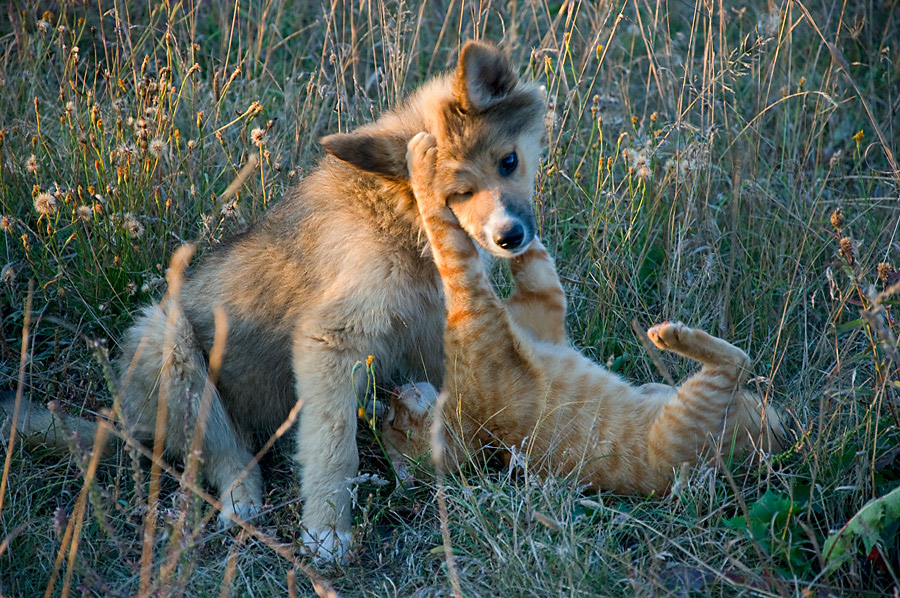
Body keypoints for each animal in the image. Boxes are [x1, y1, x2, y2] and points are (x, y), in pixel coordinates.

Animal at [380, 134, 788, 494]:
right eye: (392, 420)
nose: (393, 391)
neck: (471, 426)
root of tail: (775, 445)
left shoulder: (542, 300)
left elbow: (528, 253)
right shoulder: (474, 294)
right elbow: (444, 236)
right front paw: (420, 162)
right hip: (683, 423)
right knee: (736, 361)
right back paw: (669, 335)